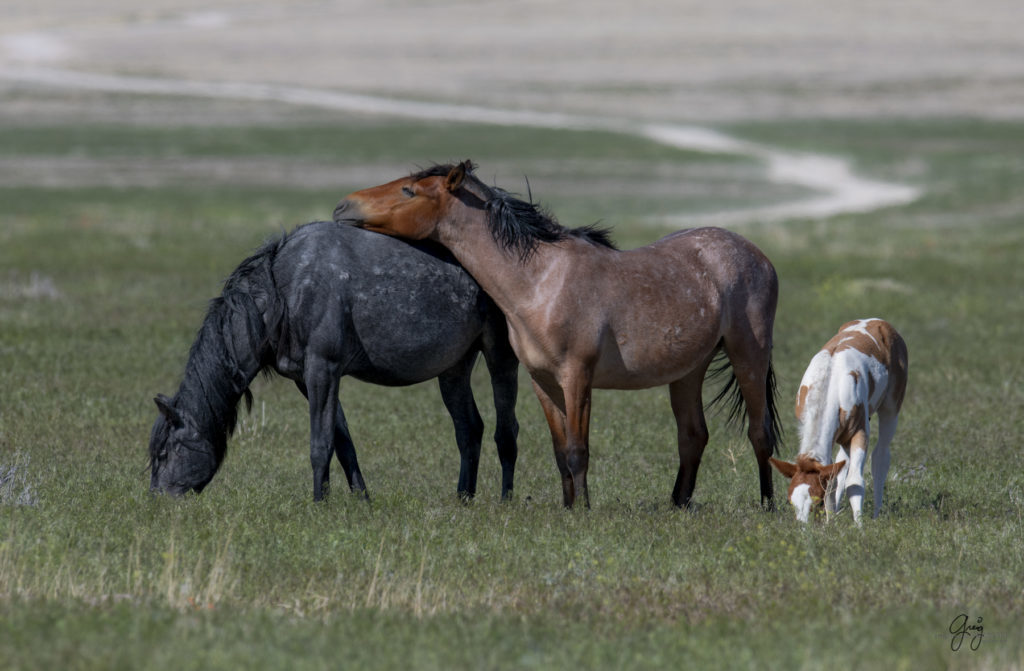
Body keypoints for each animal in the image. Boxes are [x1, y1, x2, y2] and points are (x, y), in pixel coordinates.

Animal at [149, 223, 520, 501]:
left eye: (165, 452)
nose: (158, 501)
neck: (283, 292)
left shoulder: (323, 370)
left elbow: (320, 443)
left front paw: (318, 503)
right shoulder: (308, 378)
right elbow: (343, 443)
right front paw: (360, 499)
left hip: (500, 358)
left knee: (506, 430)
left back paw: (505, 499)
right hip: (454, 369)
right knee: (469, 429)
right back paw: (463, 499)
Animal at [335, 162, 782, 510]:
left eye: (408, 190)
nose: (342, 206)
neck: (540, 281)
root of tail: (757, 255)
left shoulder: (576, 377)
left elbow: (578, 449)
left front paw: (583, 509)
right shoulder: (542, 381)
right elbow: (559, 448)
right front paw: (568, 506)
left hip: (749, 354)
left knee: (759, 432)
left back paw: (767, 505)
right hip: (689, 370)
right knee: (692, 435)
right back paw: (678, 504)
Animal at [770, 319, 909, 524]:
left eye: (817, 501)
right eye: (790, 501)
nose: (803, 527)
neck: (829, 383)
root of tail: (879, 322)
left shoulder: (860, 431)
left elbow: (855, 482)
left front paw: (859, 525)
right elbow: (832, 479)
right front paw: (830, 522)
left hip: (890, 409)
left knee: (880, 455)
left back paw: (876, 515)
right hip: (843, 434)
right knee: (843, 461)